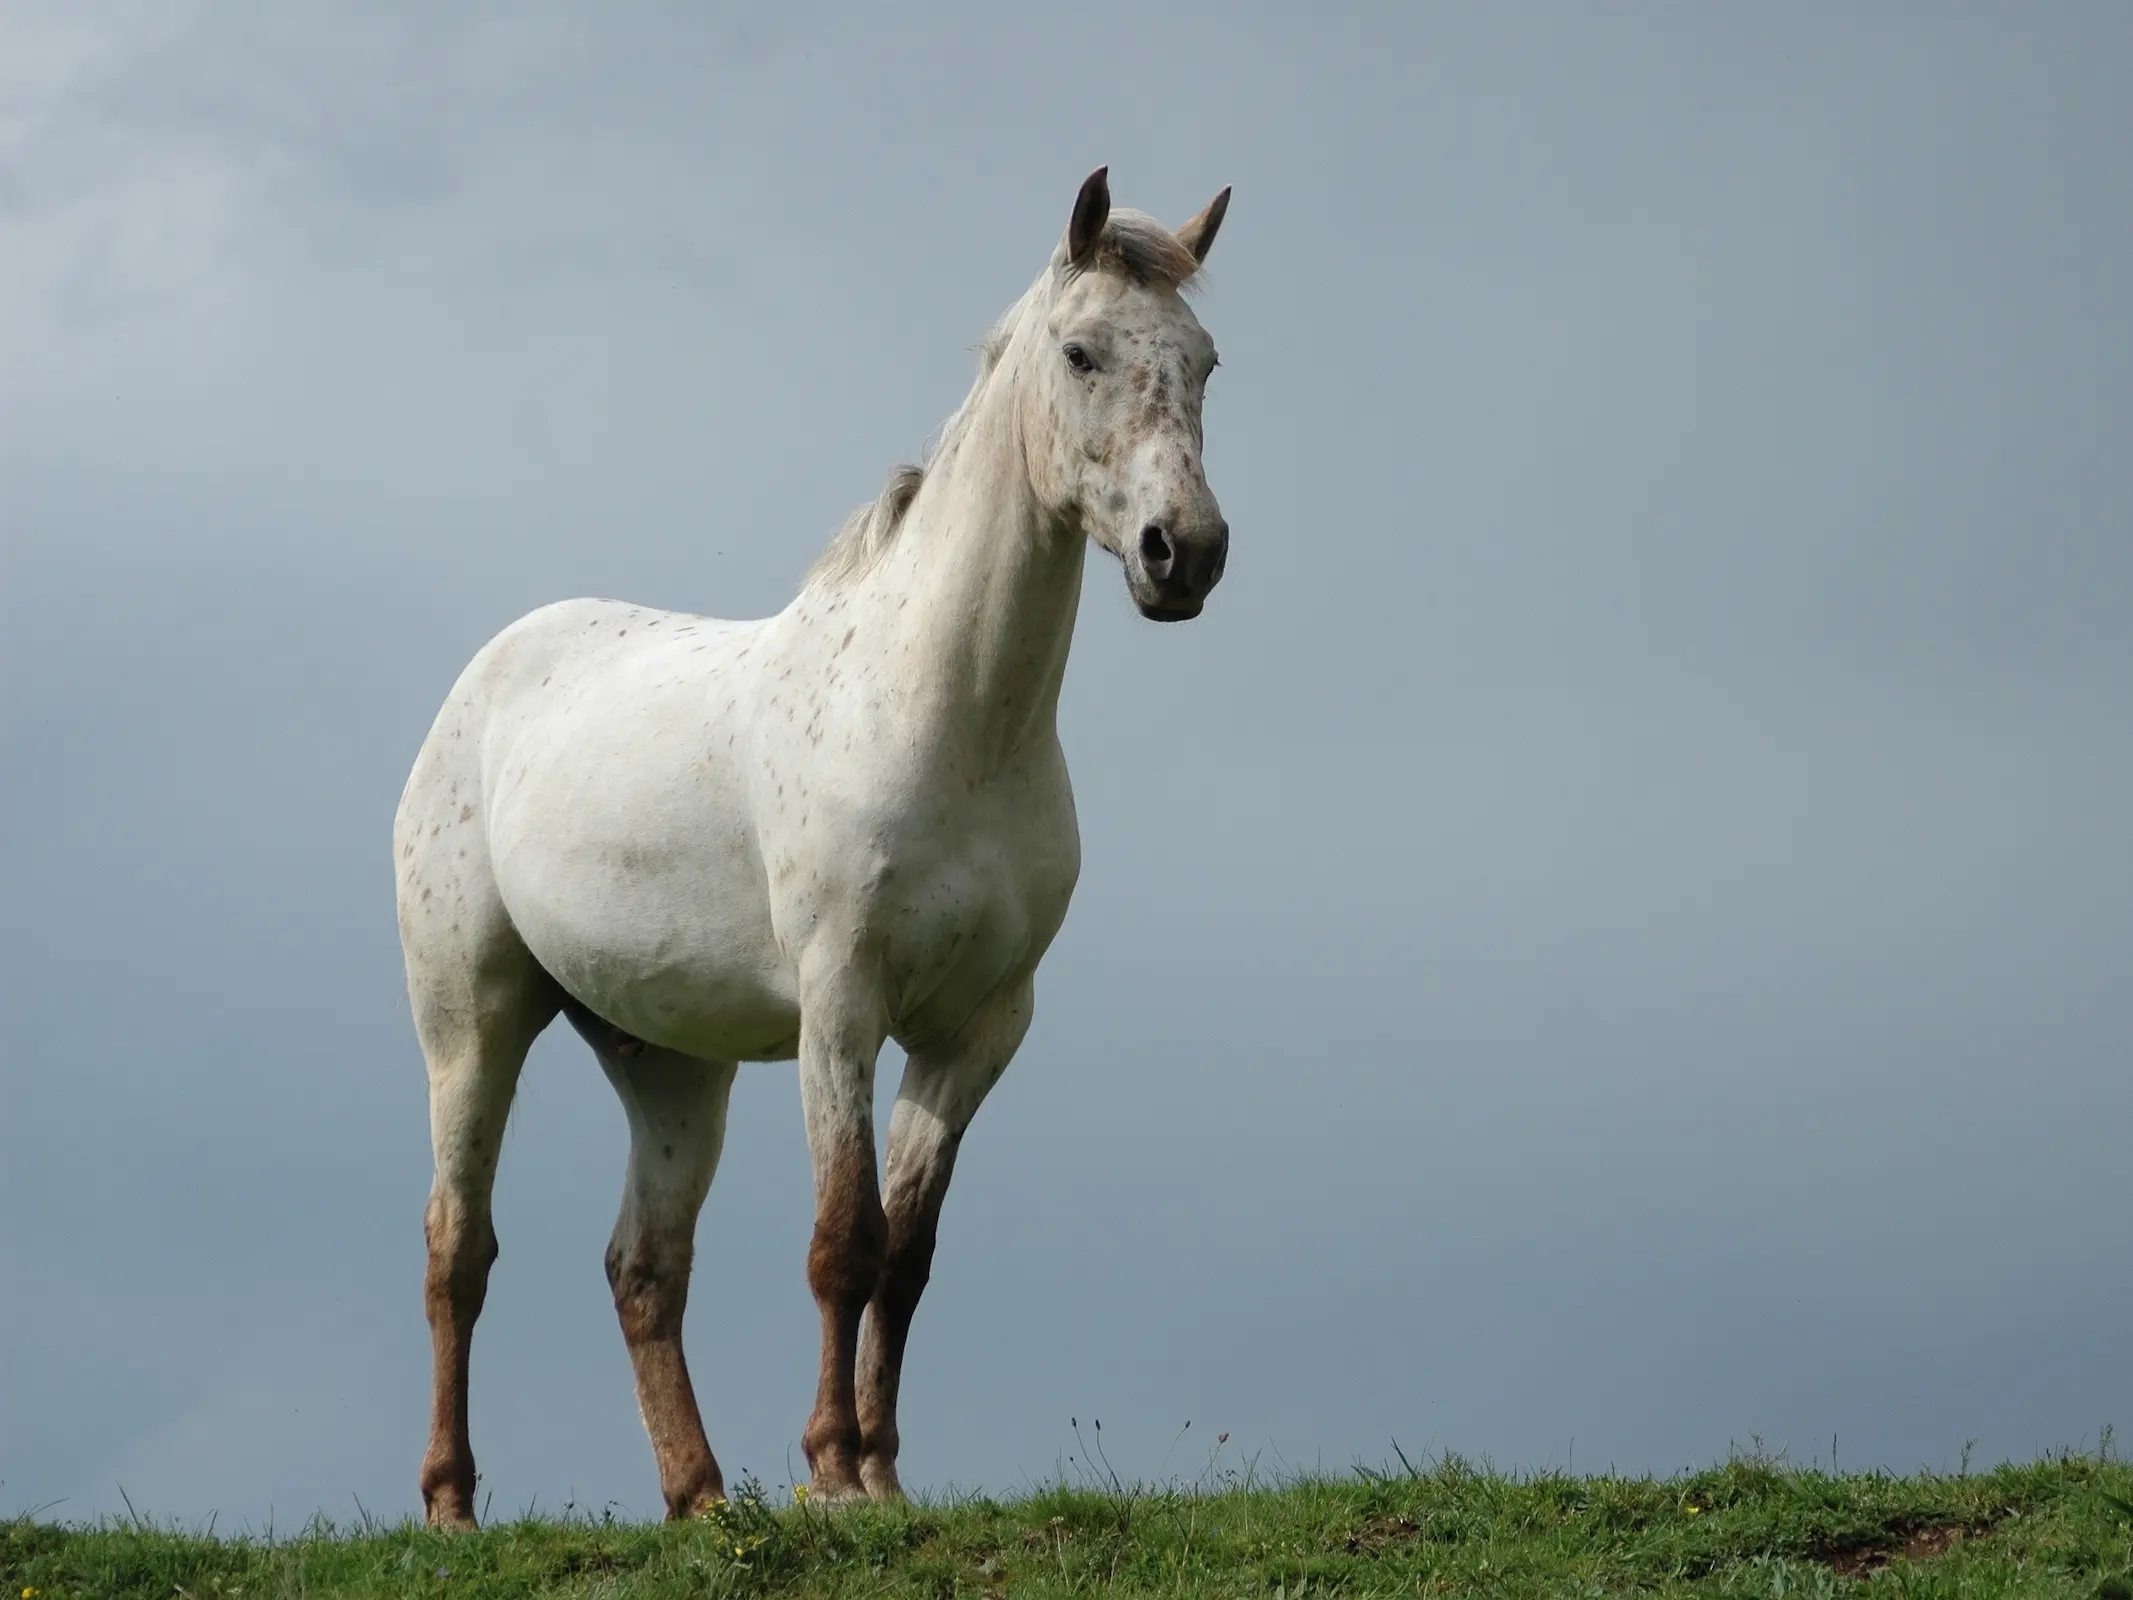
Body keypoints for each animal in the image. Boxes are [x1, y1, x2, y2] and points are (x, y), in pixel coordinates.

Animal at [394, 166, 1245, 1527]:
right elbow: (843, 1240)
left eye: (1205, 361)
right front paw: (833, 1470)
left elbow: (907, 1254)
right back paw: (452, 1504)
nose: (1188, 552)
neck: (945, 719)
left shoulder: (976, 1030)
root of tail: (481, 683)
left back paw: (700, 1499)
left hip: (669, 1068)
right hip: (470, 1026)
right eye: (1081, 351)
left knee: (644, 1270)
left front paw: (884, 1472)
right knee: (456, 1252)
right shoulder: (842, 1005)